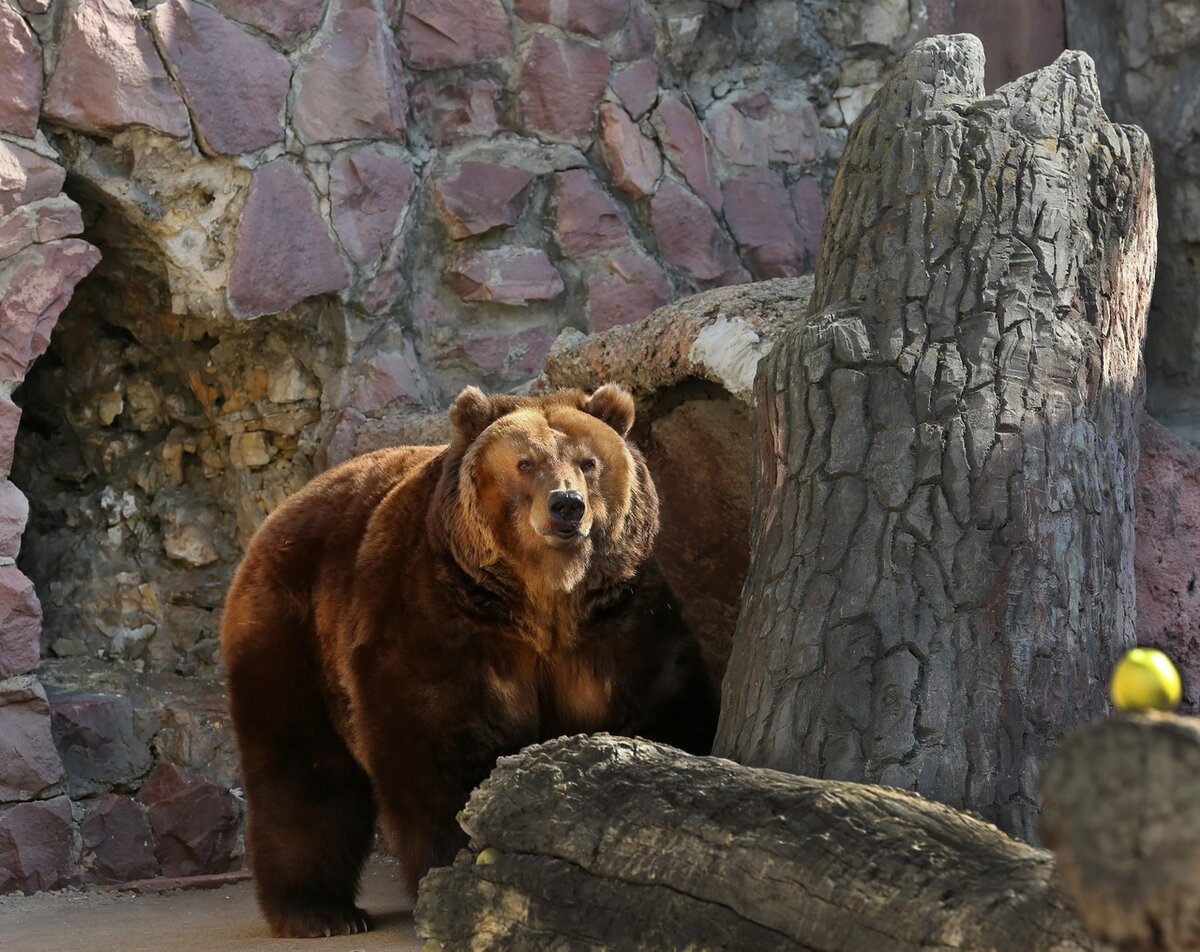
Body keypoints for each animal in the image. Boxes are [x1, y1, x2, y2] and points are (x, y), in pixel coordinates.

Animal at [220, 381, 715, 931]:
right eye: (525, 462)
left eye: (587, 462)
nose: (566, 506)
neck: (544, 604)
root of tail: (283, 508)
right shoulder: (441, 616)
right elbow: (436, 740)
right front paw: (460, 866)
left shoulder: (618, 620)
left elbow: (663, 705)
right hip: (293, 630)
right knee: (302, 770)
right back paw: (320, 911)